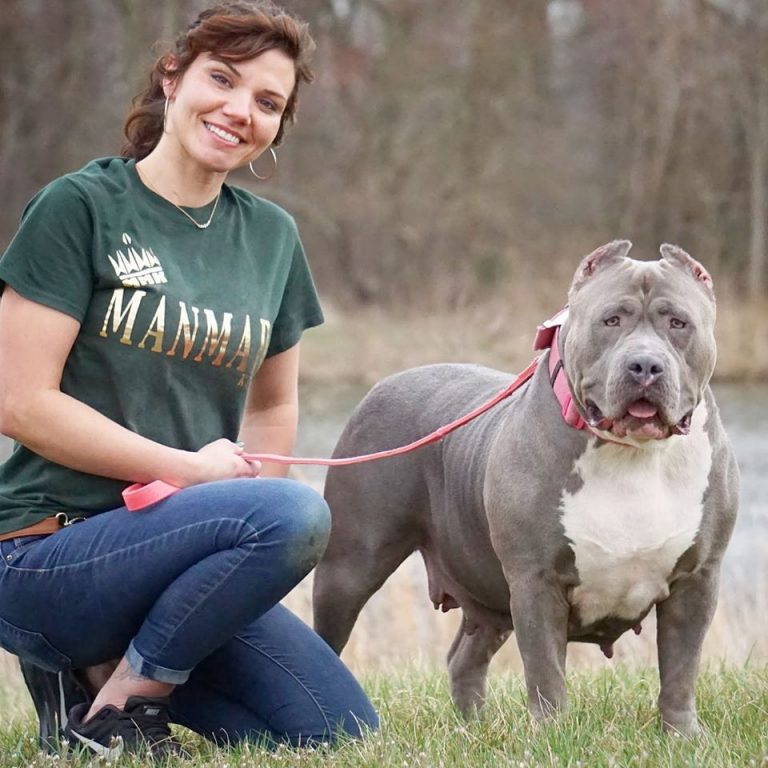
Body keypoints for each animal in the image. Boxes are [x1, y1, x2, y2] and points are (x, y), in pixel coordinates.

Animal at [310, 240, 736, 732]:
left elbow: (681, 668)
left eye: (678, 323)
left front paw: (681, 734)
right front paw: (552, 735)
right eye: (611, 320)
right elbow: (546, 670)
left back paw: (473, 727)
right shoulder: (536, 579)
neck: (634, 453)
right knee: (330, 634)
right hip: (349, 568)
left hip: (485, 590)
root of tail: (381, 384)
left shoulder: (697, 580)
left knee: (464, 657)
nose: (645, 365)